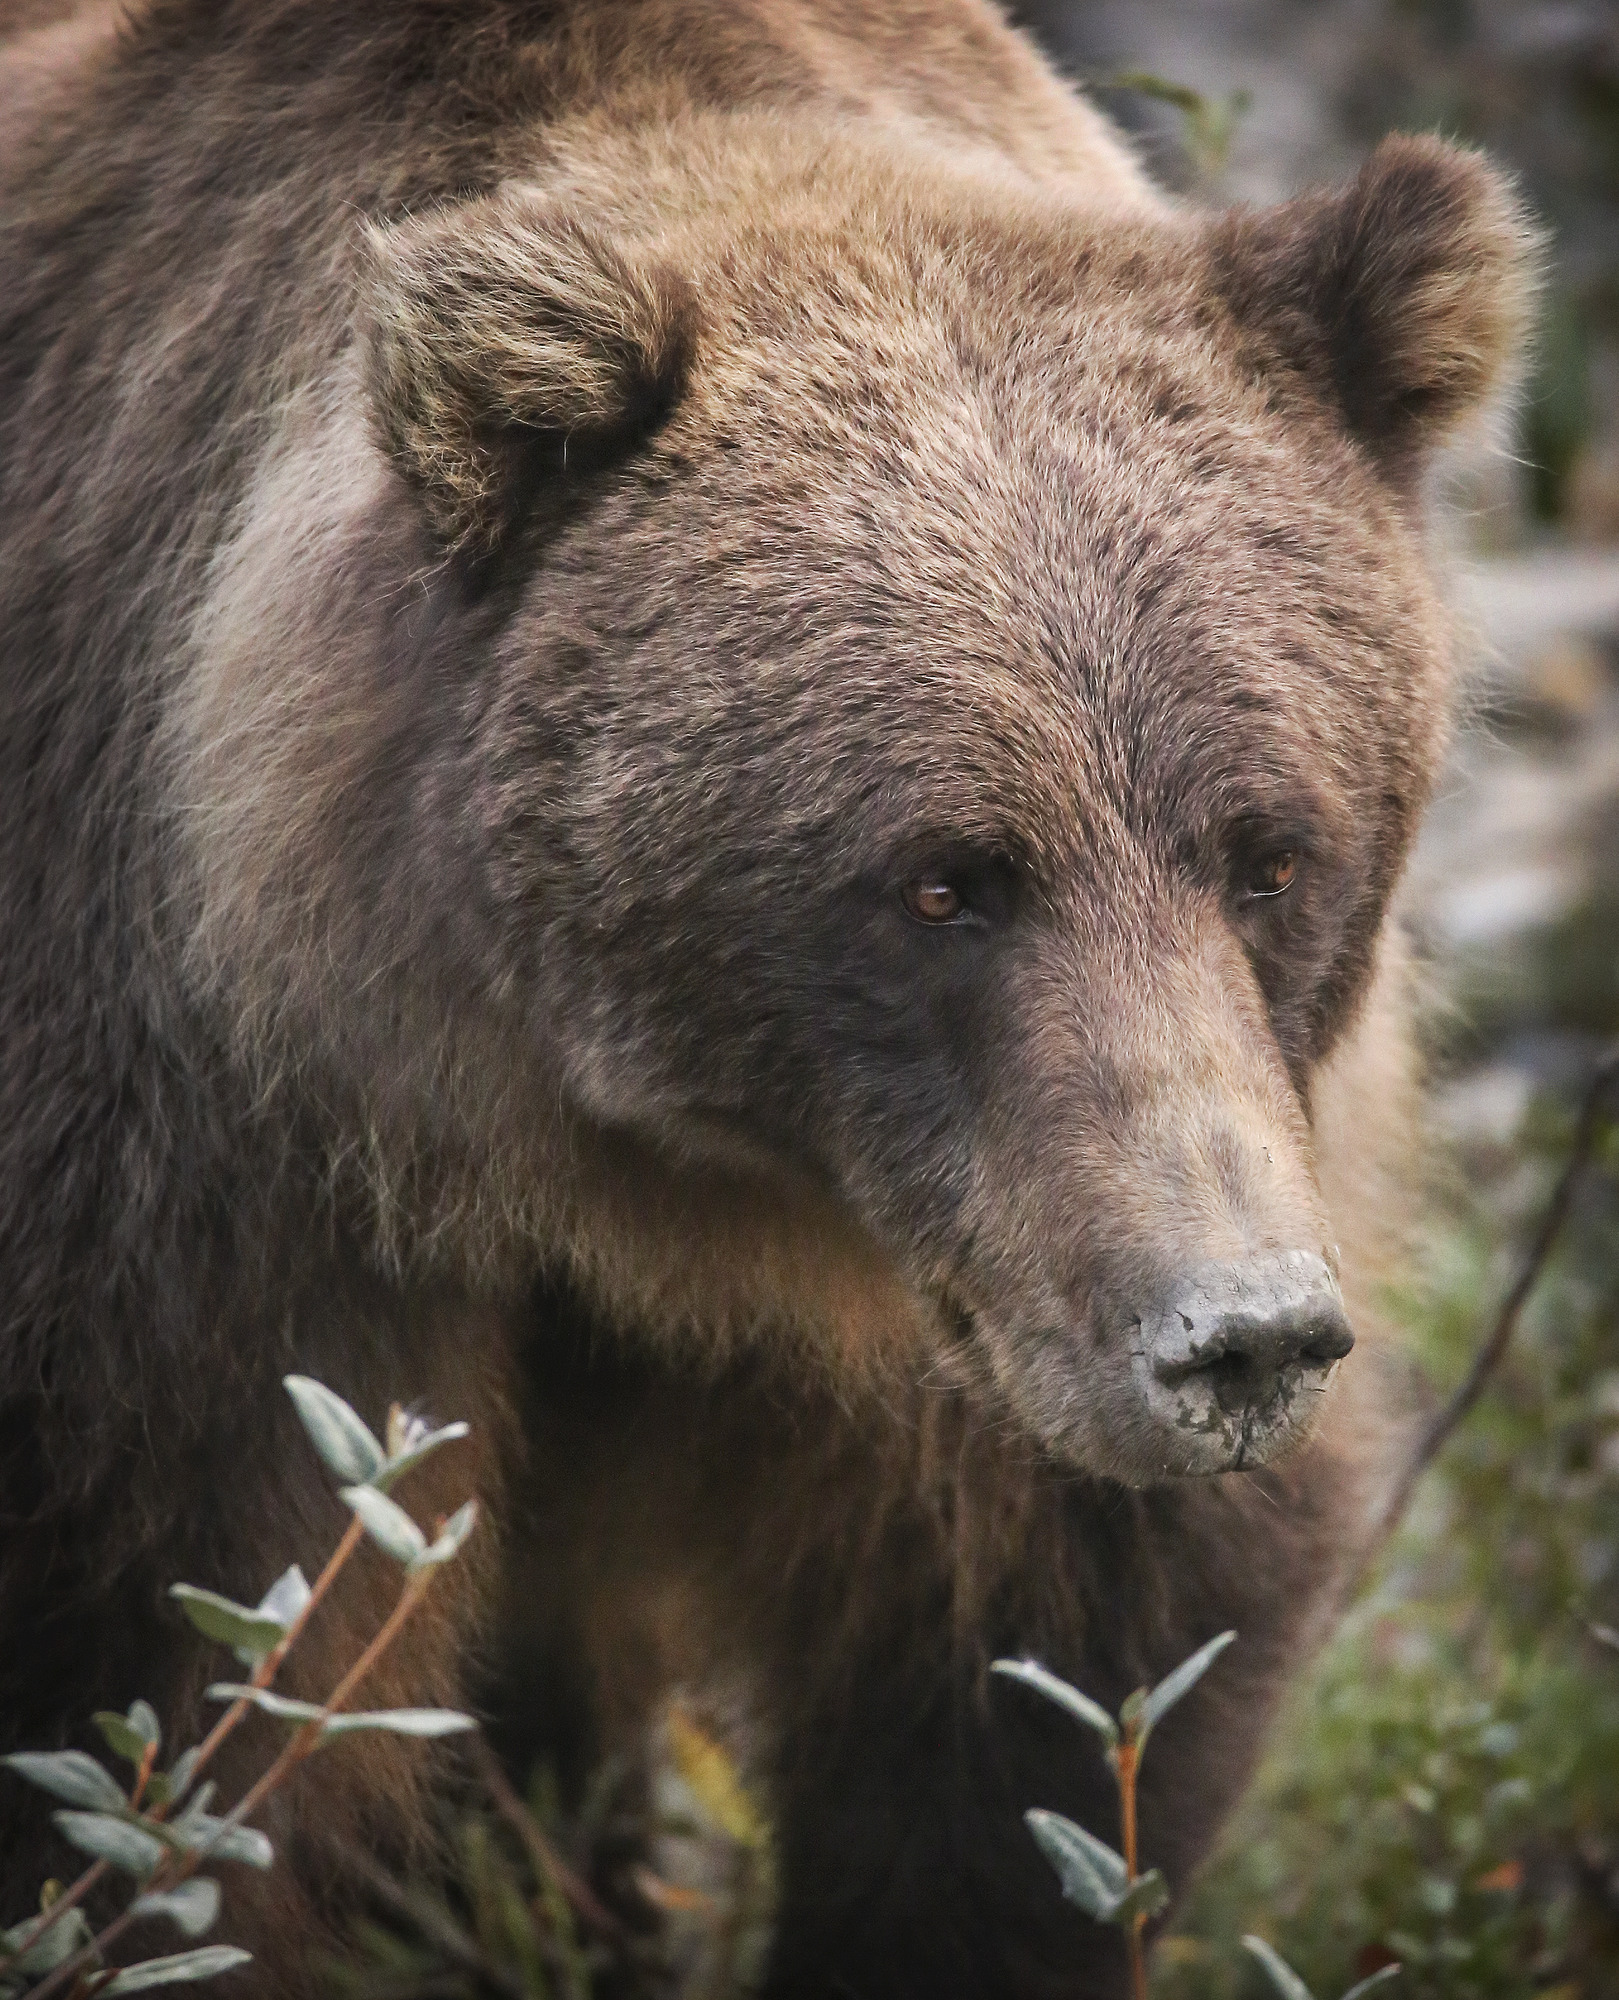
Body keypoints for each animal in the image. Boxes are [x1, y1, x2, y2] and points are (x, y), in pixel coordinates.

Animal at [0, 1, 1535, 1994]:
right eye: (946, 877)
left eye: (1267, 851)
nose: (1238, 1335)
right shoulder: (183, 1182)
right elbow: (163, 1693)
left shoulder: (986, 1310)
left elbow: (1051, 1698)